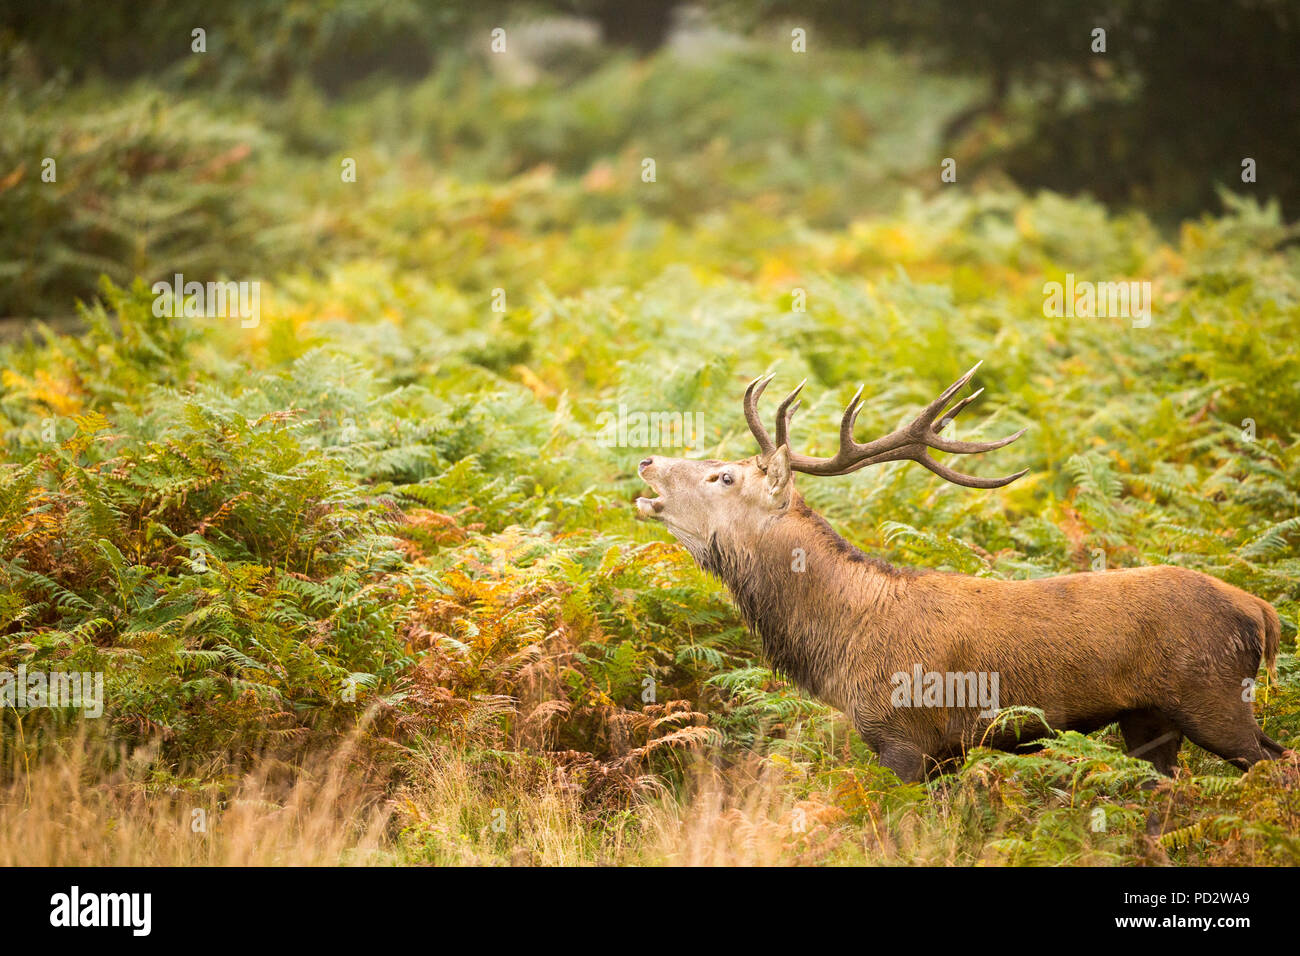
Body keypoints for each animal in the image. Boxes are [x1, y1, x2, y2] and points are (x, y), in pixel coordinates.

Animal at [635, 363, 1286, 783]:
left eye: (724, 476)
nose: (646, 460)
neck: (840, 642)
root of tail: (1261, 612)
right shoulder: (947, 753)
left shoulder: (904, 737)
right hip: (1150, 720)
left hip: (1214, 697)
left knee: (1276, 766)